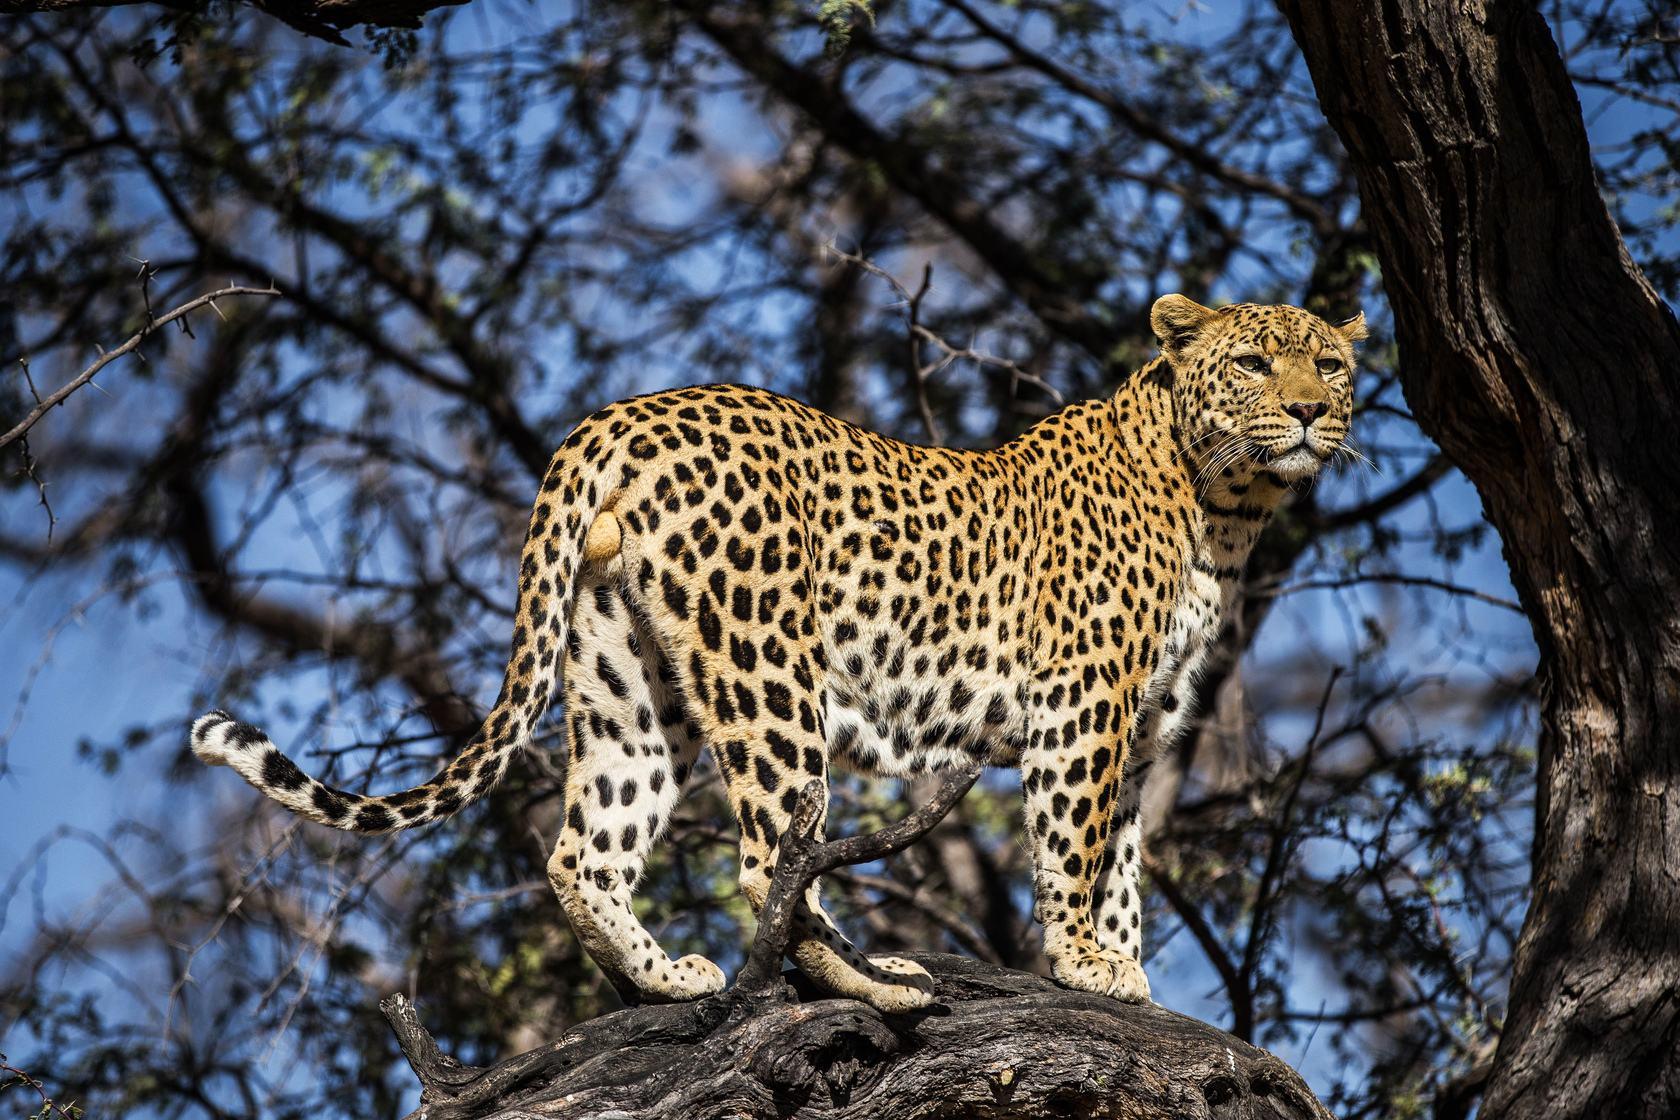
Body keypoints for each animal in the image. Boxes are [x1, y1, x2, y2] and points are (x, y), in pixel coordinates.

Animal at [190, 293, 1364, 1014]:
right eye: (1254, 362)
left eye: (1332, 364)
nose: (1311, 412)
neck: (1224, 511)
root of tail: (616, 415)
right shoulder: (1085, 702)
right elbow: (1075, 843)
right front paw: (1084, 960)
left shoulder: (1145, 721)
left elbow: (1121, 854)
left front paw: (1123, 963)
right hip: (768, 670)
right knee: (768, 859)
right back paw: (874, 981)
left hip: (628, 678)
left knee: (586, 848)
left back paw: (669, 978)